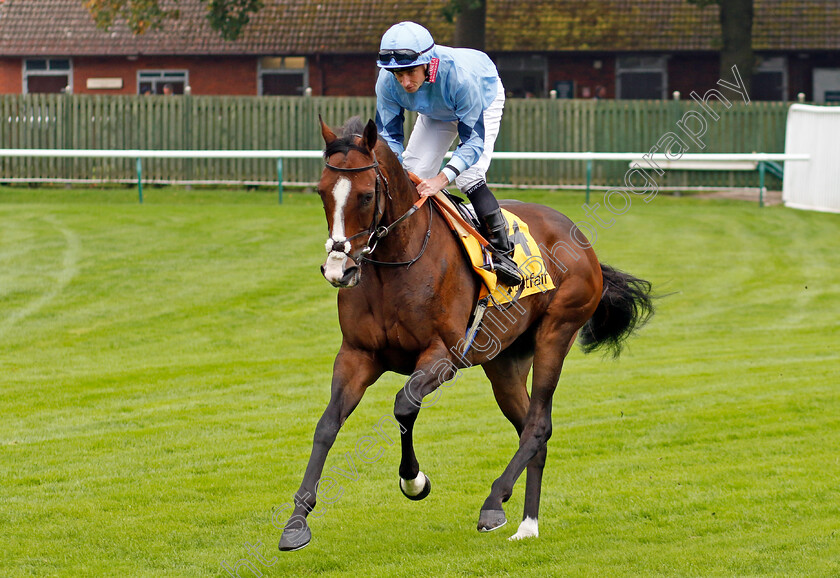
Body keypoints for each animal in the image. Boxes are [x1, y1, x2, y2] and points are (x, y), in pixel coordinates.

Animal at [278, 116, 652, 548]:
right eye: (322, 192)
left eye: (366, 195)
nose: (339, 270)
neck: (399, 263)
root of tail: (580, 237)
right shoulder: (357, 355)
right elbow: (327, 424)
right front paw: (296, 521)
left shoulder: (443, 355)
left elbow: (404, 405)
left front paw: (414, 481)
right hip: (504, 362)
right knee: (532, 430)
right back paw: (527, 524)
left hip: (556, 333)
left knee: (538, 425)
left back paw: (494, 503)